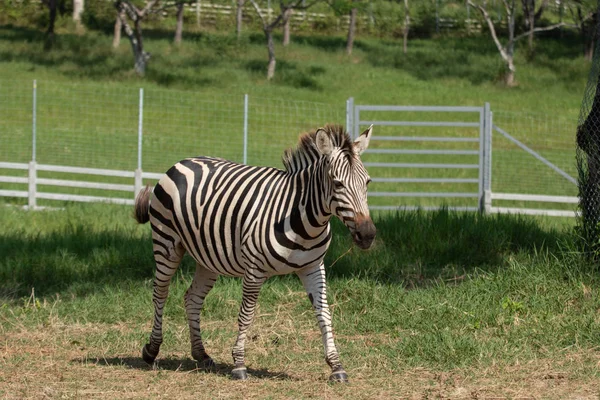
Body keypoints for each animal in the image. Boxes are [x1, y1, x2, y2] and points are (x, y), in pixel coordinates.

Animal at [135, 124, 376, 382]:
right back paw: (151, 350)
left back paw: (201, 354)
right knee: (160, 292)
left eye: (367, 182)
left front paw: (336, 366)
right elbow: (246, 315)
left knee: (193, 297)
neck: (303, 221)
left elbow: (324, 313)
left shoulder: (313, 268)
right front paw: (239, 364)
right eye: (337, 183)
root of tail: (184, 161)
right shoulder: (254, 270)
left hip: (208, 258)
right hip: (166, 243)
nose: (367, 234)